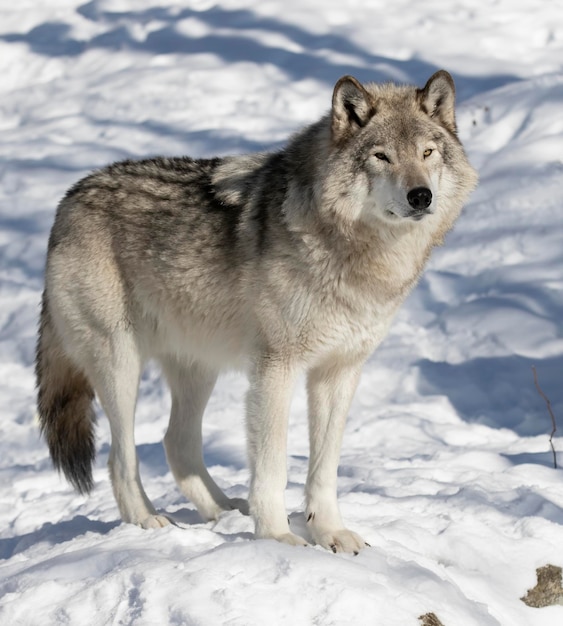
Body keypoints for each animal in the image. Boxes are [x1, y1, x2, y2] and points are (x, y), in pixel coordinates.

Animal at [34, 70, 476, 552]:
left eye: (427, 152)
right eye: (381, 156)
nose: (421, 196)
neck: (357, 254)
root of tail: (68, 200)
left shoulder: (339, 372)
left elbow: (325, 468)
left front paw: (330, 533)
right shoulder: (275, 368)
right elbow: (272, 466)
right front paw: (277, 536)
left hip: (198, 369)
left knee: (176, 444)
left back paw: (224, 512)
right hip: (121, 366)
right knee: (121, 458)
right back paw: (149, 521)